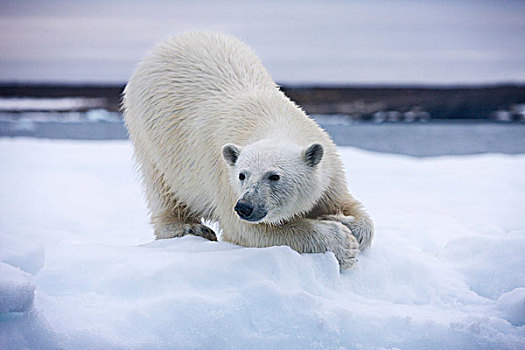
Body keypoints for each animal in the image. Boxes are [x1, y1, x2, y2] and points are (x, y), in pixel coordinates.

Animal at [122, 32, 372, 268]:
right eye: (242, 175)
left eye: (274, 176)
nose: (245, 206)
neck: (273, 120)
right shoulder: (224, 178)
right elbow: (251, 230)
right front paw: (344, 243)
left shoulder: (329, 169)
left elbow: (350, 208)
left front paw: (342, 219)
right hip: (150, 132)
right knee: (162, 187)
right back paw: (191, 227)